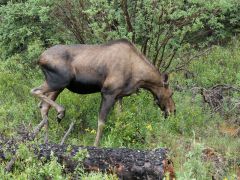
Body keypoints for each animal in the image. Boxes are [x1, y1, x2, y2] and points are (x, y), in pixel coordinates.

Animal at [31, 39, 175, 146]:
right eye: (171, 93)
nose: (173, 110)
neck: (139, 77)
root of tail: (39, 59)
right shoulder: (108, 93)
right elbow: (101, 123)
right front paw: (96, 145)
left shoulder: (119, 96)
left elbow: (120, 120)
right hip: (59, 81)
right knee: (35, 91)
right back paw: (60, 112)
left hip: (58, 86)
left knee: (44, 106)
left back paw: (47, 140)